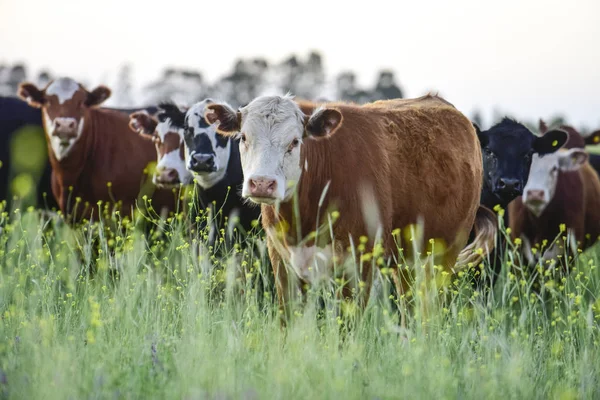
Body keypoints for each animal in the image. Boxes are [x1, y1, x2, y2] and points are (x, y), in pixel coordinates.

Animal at [204, 94, 494, 318]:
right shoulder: (282, 262)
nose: (262, 183)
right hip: (406, 262)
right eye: (243, 137)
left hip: (441, 257)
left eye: (295, 142)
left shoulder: (358, 264)